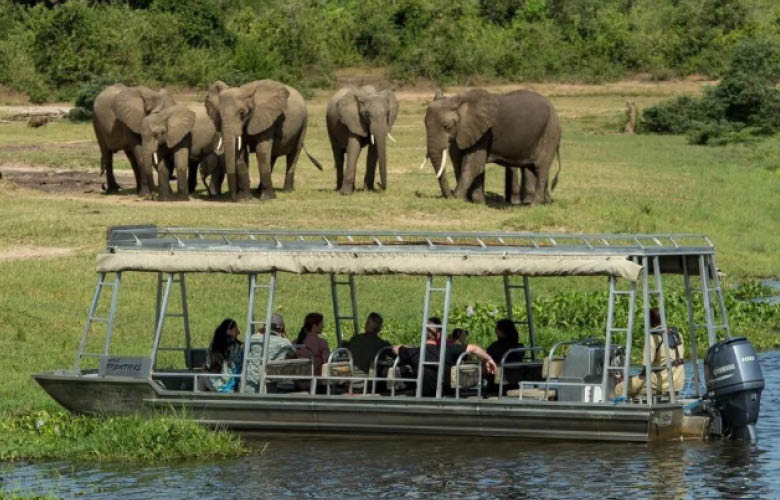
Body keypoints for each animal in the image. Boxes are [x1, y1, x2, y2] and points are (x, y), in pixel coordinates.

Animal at [422, 89, 561, 205]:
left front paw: (457, 198)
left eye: (446, 126)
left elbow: (473, 164)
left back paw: (535, 204)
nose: (448, 195)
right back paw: (547, 202)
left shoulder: (484, 131)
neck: (459, 100)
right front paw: (477, 202)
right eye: (425, 124)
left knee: (541, 167)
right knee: (534, 168)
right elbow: (462, 162)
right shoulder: (465, 132)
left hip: (550, 131)